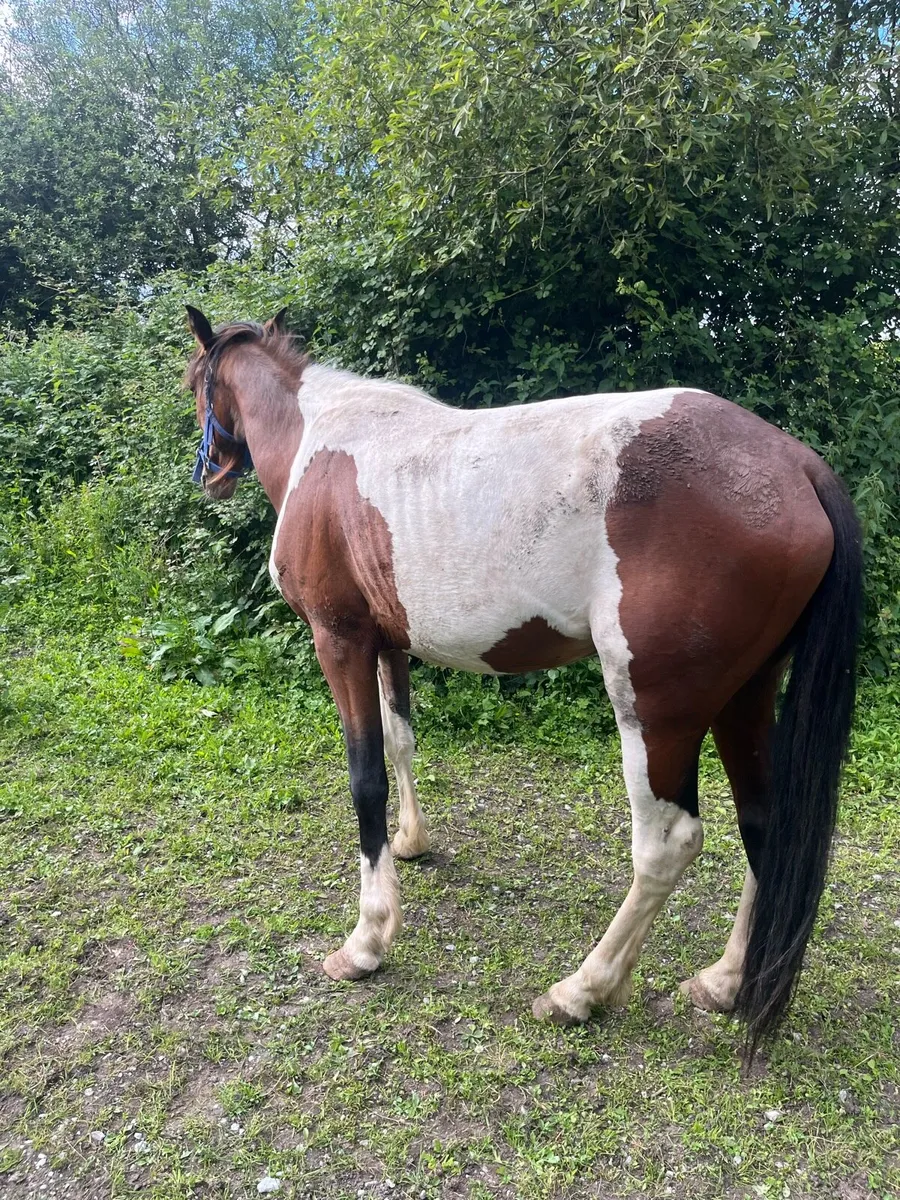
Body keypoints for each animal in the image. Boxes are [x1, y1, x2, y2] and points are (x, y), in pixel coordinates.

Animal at [183, 305, 862, 1054]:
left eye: (195, 385)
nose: (211, 474)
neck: (320, 441)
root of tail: (797, 466)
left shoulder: (341, 643)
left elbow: (366, 779)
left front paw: (366, 942)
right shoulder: (388, 645)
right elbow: (400, 743)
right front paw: (412, 843)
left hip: (656, 710)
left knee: (668, 844)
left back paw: (581, 991)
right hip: (744, 697)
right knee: (765, 824)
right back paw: (724, 983)